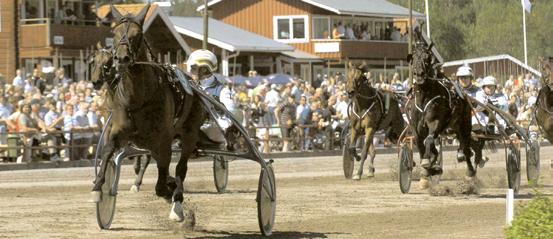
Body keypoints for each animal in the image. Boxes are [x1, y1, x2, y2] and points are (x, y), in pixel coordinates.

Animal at [90, 4, 205, 222]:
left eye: (137, 34)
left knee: (180, 167)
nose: (122, 58)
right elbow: (108, 150)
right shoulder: (118, 130)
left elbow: (162, 180)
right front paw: (99, 186)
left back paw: (176, 200)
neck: (139, 96)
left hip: (189, 133)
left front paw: (170, 191)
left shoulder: (163, 139)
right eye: (115, 33)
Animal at [406, 29, 474, 188]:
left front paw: (428, 164)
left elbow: (429, 140)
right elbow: (421, 143)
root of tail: (464, 95)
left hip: (464, 125)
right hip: (452, 127)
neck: (424, 98)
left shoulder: (435, 122)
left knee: (466, 147)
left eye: (427, 57)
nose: (419, 74)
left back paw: (469, 172)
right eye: (414, 57)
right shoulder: (416, 127)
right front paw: (429, 169)